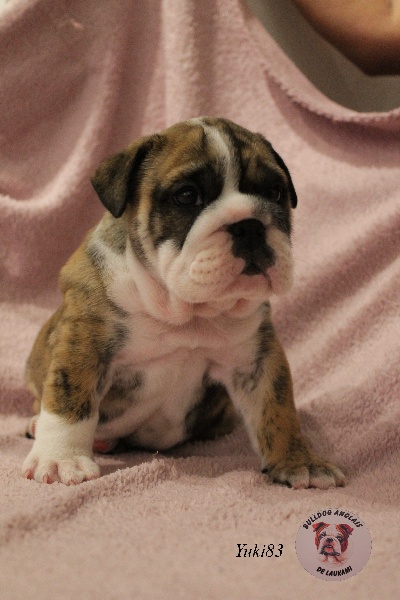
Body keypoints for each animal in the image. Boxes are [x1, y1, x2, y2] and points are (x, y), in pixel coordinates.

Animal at [22, 116, 346, 487]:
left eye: (275, 193)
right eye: (187, 196)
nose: (249, 224)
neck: (183, 309)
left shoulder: (257, 359)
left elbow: (277, 409)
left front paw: (298, 461)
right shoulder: (86, 341)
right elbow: (69, 401)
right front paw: (61, 459)